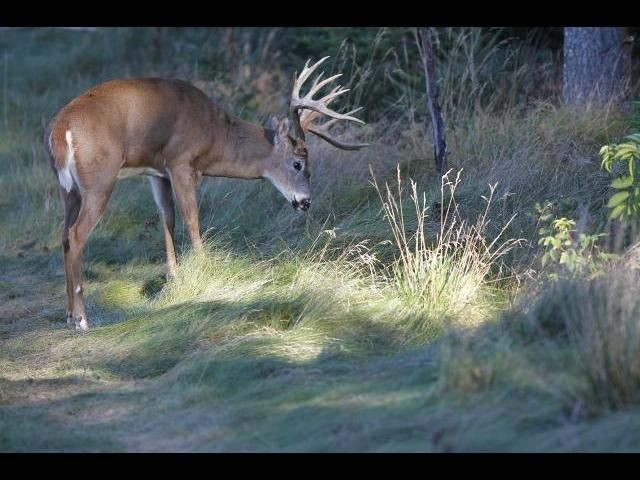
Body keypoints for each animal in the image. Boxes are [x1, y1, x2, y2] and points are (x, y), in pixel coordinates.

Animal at [45, 57, 368, 330]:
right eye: (298, 163)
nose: (305, 202)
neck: (213, 133)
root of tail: (60, 131)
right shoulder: (181, 161)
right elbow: (192, 218)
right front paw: (202, 270)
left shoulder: (157, 171)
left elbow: (167, 217)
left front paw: (174, 276)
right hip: (99, 180)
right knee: (76, 234)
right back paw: (81, 319)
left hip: (69, 189)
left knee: (63, 234)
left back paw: (68, 314)